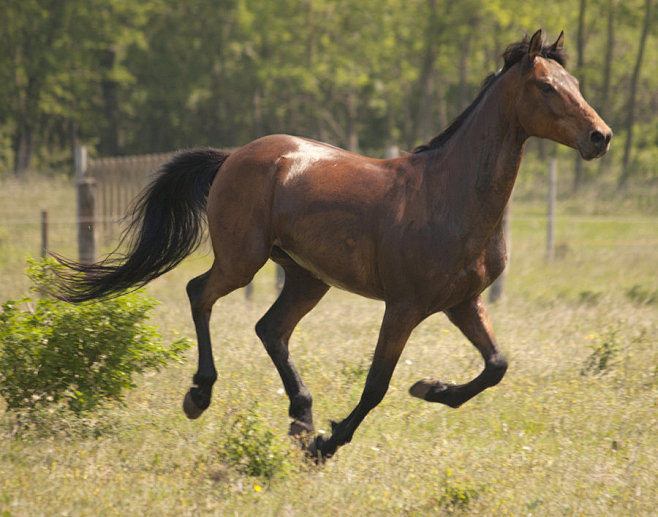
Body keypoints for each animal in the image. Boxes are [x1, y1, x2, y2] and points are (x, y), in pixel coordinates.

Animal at [55, 31, 608, 460]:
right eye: (545, 86)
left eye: (577, 85)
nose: (600, 137)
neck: (449, 195)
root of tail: (234, 156)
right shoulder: (404, 307)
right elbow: (377, 384)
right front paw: (329, 444)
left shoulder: (463, 303)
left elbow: (496, 366)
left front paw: (430, 389)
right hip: (243, 261)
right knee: (200, 294)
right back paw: (203, 396)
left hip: (307, 277)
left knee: (270, 328)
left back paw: (300, 417)